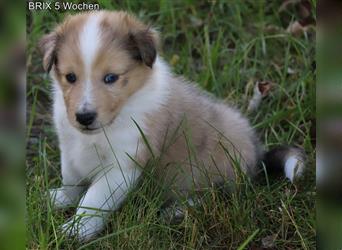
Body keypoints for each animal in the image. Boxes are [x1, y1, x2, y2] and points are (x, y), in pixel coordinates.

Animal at [39, 10, 304, 241]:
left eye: (111, 78)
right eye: (70, 77)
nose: (84, 117)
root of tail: (258, 156)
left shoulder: (123, 165)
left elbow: (93, 200)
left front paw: (76, 230)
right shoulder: (69, 147)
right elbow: (71, 179)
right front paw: (59, 199)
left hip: (215, 172)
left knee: (214, 197)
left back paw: (176, 211)